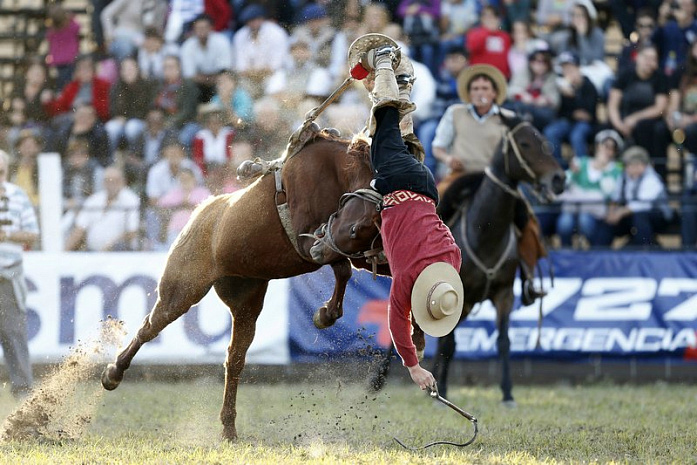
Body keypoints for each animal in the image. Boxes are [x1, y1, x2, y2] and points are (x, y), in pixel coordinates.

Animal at [304, 114, 564, 404]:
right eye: (525, 143)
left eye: (544, 141)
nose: (558, 179)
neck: (483, 231)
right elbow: (443, 341)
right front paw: (440, 385)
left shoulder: (503, 293)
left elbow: (502, 341)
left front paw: (507, 393)